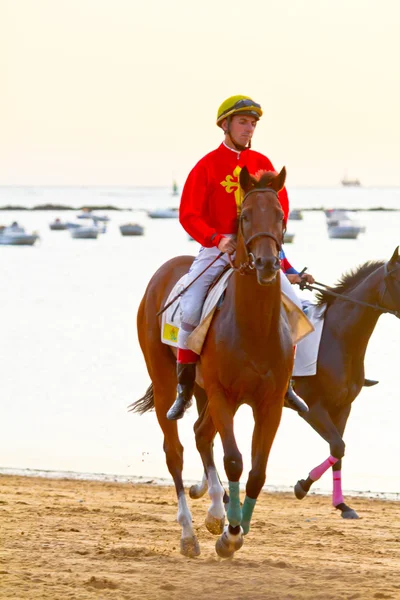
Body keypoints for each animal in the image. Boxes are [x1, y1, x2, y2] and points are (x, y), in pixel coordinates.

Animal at [133, 165, 292, 556]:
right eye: (245, 215)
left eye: (280, 215)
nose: (267, 263)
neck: (253, 327)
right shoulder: (224, 396)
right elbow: (234, 460)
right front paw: (231, 536)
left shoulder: (269, 404)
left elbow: (257, 471)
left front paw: (236, 524)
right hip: (166, 382)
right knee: (175, 450)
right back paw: (189, 533)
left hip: (205, 391)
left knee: (202, 435)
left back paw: (217, 511)